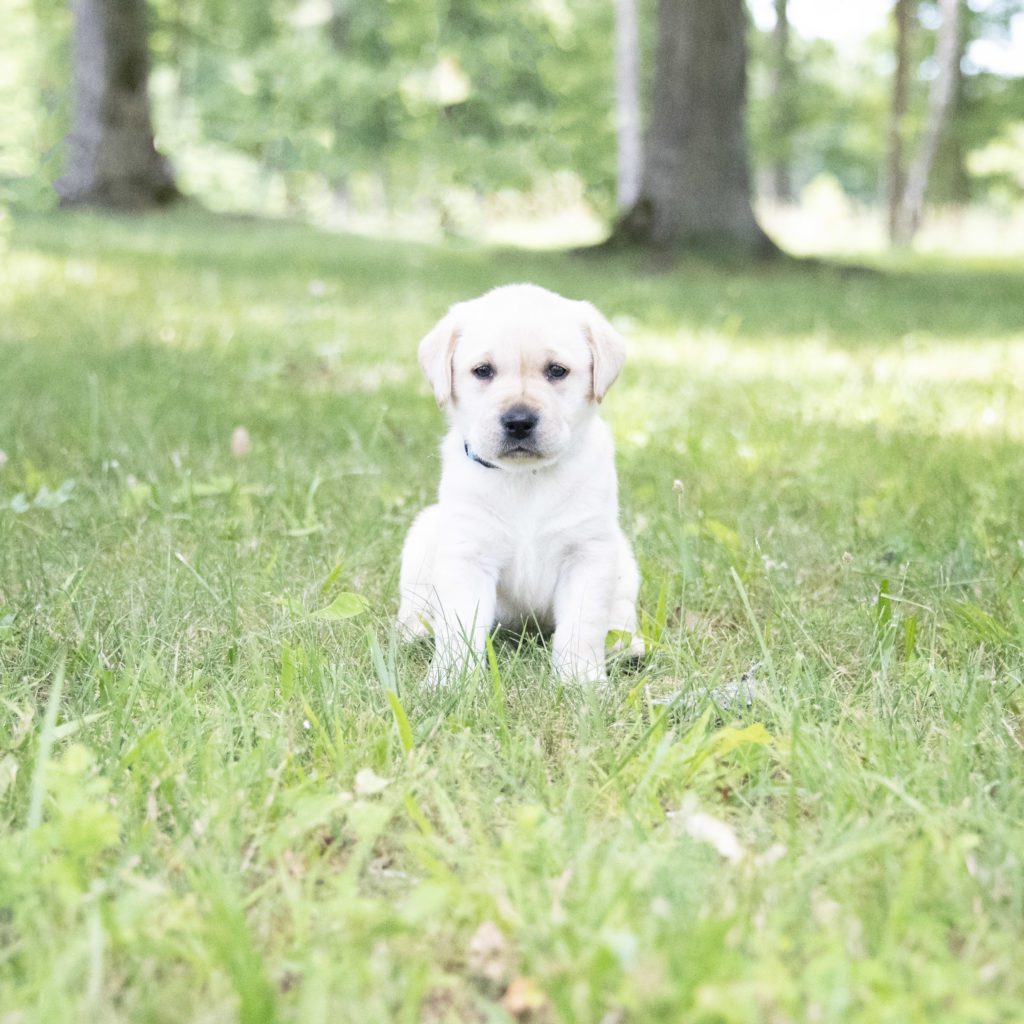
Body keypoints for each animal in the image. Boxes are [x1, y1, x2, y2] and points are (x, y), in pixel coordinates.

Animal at [397, 280, 638, 684]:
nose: (519, 421)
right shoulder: (468, 552)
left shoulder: (587, 553)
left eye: (557, 371)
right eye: (483, 371)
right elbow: (459, 626)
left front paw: (579, 680)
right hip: (424, 534)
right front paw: (450, 680)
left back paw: (628, 645)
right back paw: (413, 632)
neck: (527, 477)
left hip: (624, 557)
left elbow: (582, 625)